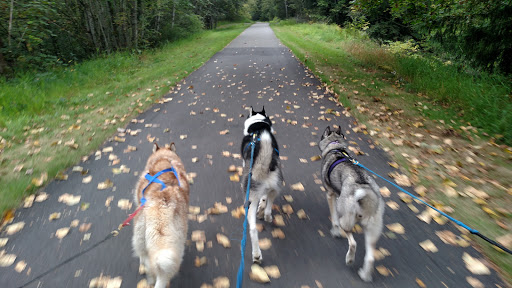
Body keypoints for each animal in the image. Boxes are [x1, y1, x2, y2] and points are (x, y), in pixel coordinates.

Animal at [241, 106, 284, 264]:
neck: (258, 128)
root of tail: (262, 169)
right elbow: (264, 199)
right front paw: (262, 206)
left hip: (250, 199)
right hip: (274, 188)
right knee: (264, 213)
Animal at [316, 125, 384, 282]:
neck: (335, 147)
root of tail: (367, 195)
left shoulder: (330, 195)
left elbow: (334, 219)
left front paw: (334, 232)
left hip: (346, 222)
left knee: (352, 243)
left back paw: (349, 259)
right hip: (371, 231)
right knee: (370, 258)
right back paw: (364, 275)